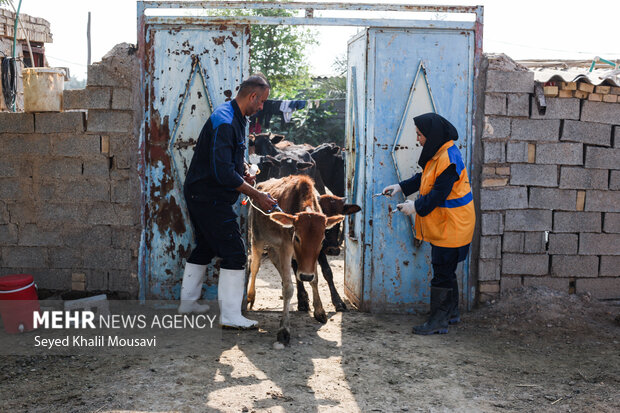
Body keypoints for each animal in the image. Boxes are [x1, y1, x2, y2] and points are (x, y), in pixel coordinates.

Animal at [247, 175, 344, 344]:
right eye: (297, 237)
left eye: (322, 239)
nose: (305, 275)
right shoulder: (286, 248)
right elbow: (288, 288)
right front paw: (284, 329)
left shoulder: (312, 257)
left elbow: (314, 279)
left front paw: (319, 310)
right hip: (257, 239)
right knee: (255, 266)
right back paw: (250, 297)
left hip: (274, 247)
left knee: (274, 259)